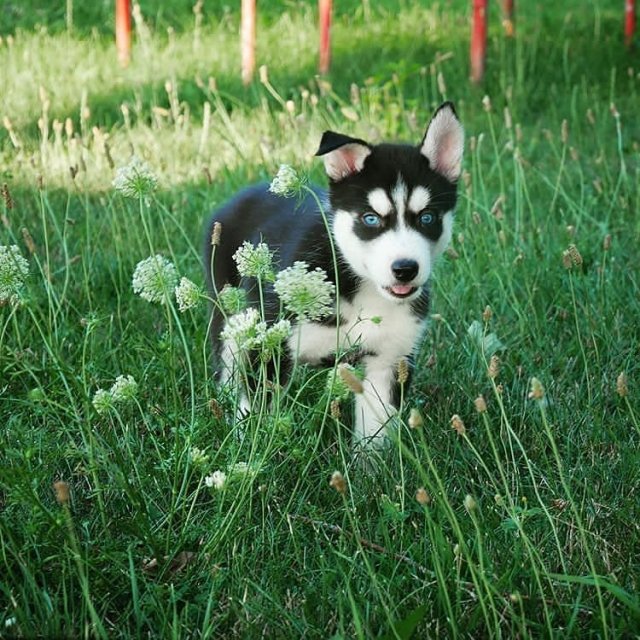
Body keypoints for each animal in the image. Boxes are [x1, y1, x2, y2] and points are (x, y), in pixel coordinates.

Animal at [205, 102, 464, 448]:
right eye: (370, 218)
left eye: (427, 217)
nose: (405, 269)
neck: (360, 288)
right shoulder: (272, 345)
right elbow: (259, 412)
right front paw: (252, 448)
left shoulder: (387, 360)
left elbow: (373, 436)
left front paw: (369, 463)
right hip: (232, 314)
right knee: (229, 363)